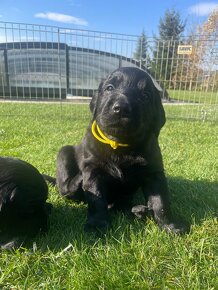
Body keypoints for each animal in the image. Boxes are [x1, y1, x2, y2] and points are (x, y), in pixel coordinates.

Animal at [54, 67, 184, 233]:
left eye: (145, 96)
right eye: (109, 88)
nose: (121, 108)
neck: (120, 145)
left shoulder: (153, 172)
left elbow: (160, 201)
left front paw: (170, 226)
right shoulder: (93, 169)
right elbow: (96, 197)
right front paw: (97, 224)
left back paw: (139, 210)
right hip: (64, 154)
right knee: (65, 188)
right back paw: (77, 180)